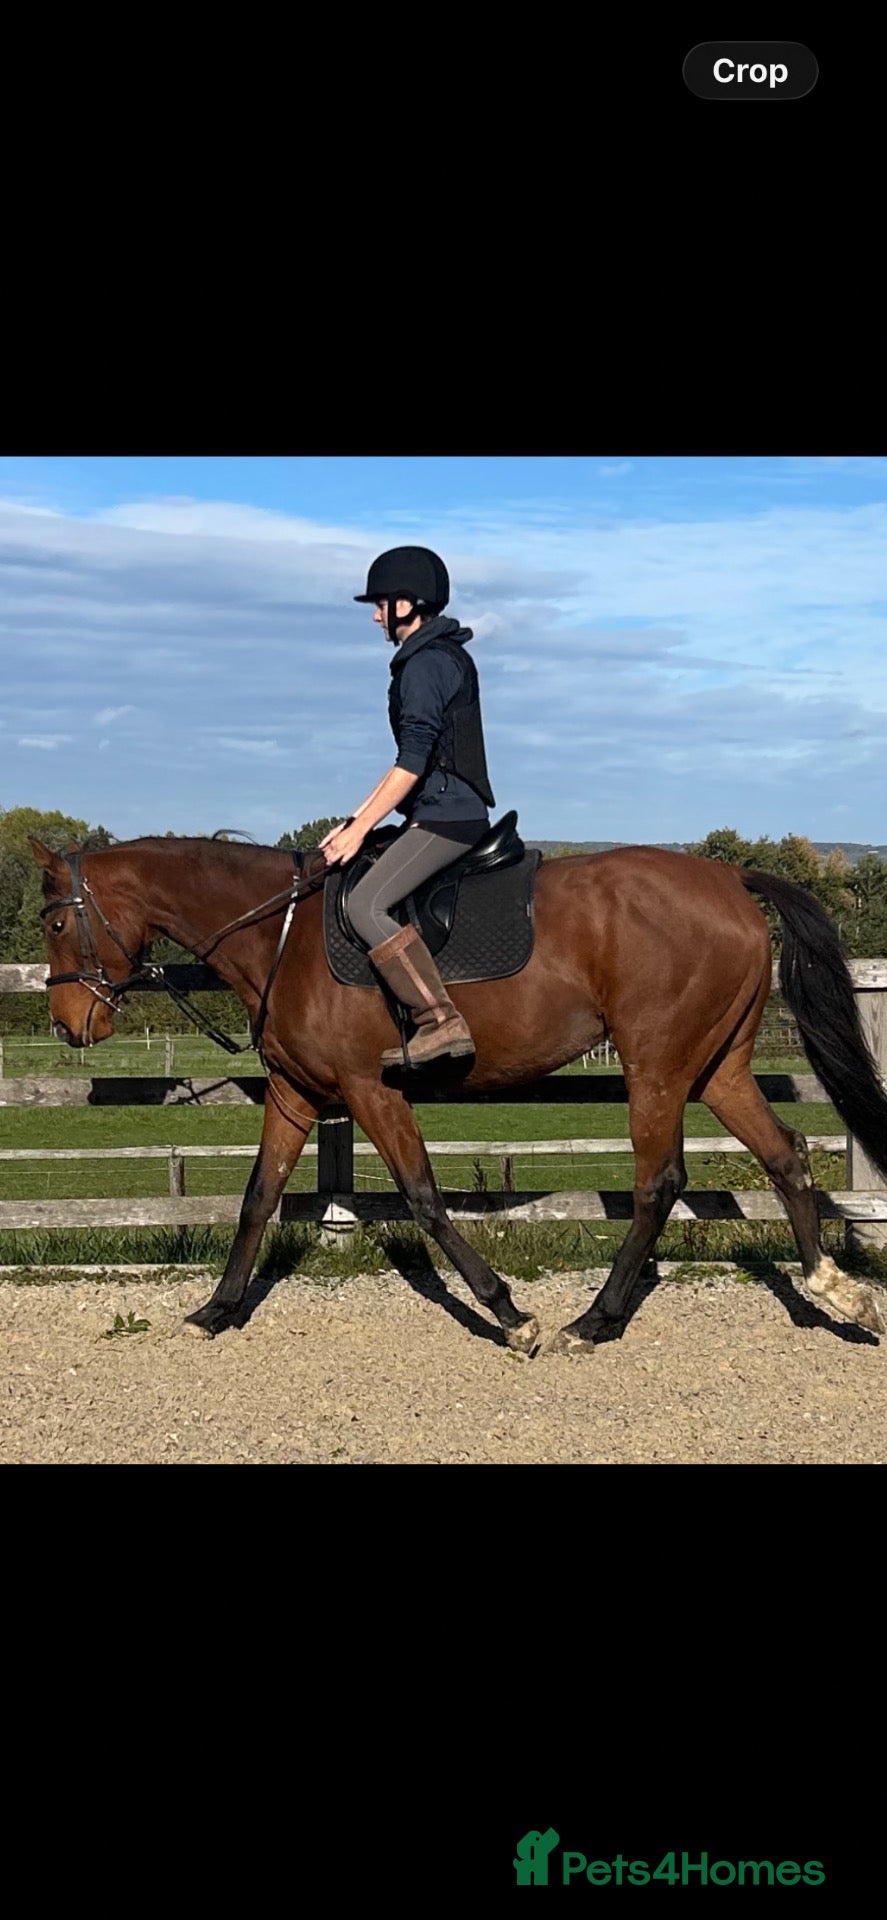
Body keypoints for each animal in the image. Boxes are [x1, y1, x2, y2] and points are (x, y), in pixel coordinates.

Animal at [29, 828, 887, 1354]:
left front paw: (508, 1313)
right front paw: (215, 1311)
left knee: (658, 1183)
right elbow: (257, 1198)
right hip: (718, 1068)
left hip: (658, 1068)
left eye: (56, 925)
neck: (280, 936)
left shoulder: (369, 1089)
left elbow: (423, 1198)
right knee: (784, 1155)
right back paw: (833, 1291)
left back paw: (593, 1321)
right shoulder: (296, 1094)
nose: (71, 1024)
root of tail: (728, 876)